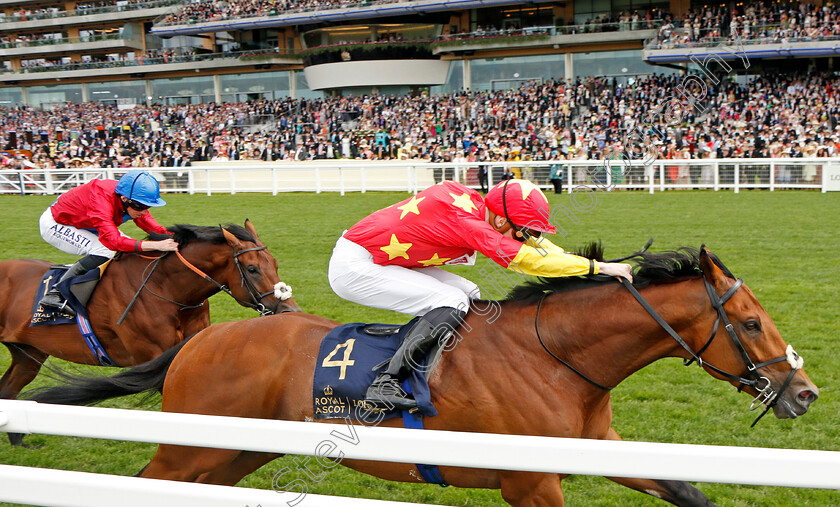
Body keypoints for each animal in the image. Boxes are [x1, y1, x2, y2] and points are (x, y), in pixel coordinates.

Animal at [0, 218, 302, 444]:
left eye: (274, 263)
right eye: (251, 269)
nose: (290, 311)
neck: (165, 289)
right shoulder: (159, 361)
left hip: (28, 355)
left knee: (8, 389)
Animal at [32, 246, 820, 504]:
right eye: (751, 323)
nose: (805, 391)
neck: (557, 359)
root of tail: (206, 337)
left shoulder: (600, 449)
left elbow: (686, 488)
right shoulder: (531, 480)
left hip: (235, 452)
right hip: (190, 445)